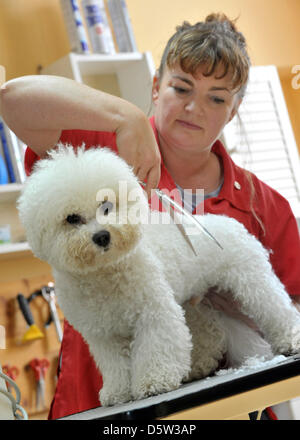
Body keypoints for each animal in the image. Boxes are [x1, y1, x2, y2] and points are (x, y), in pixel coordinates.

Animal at [17, 146, 300, 408]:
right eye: (72, 218)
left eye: (106, 206)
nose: (102, 236)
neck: (107, 273)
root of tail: (228, 222)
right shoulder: (104, 334)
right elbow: (115, 366)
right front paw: (117, 393)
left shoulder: (154, 313)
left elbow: (156, 348)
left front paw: (154, 382)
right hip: (195, 303)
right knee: (209, 334)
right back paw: (198, 366)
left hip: (253, 281)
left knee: (277, 309)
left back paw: (291, 340)